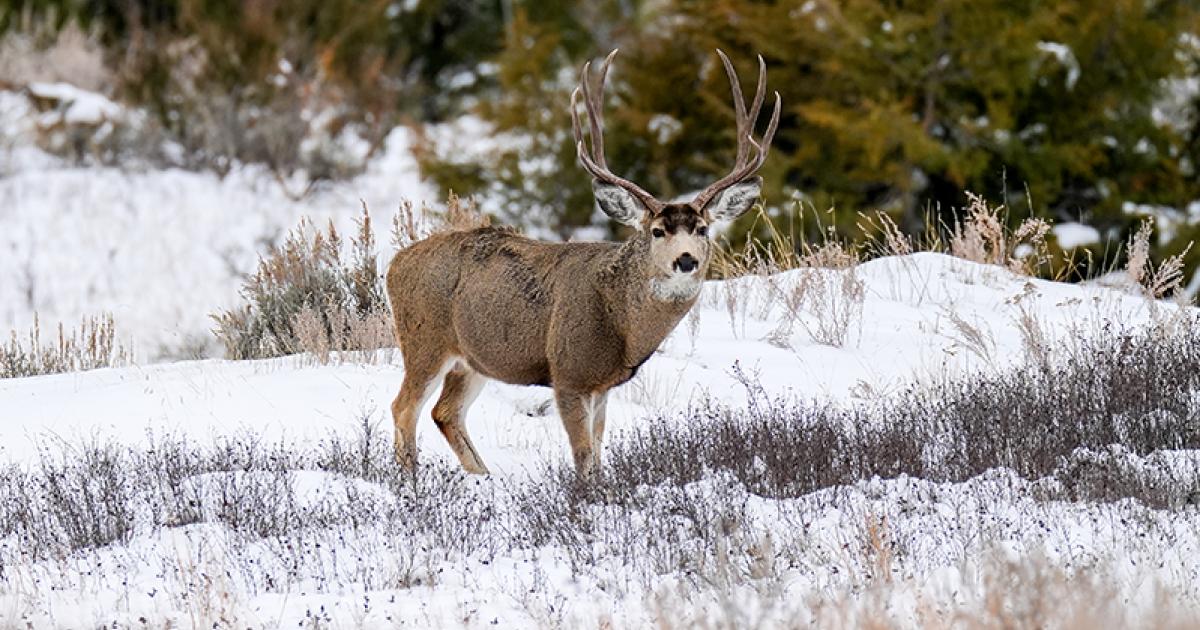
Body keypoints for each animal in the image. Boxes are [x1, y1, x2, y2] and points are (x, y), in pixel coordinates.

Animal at [385, 49, 780, 477]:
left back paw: (482, 478)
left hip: (472, 359)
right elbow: (584, 458)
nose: (686, 259)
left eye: (703, 229)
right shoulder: (569, 373)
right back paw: (412, 481)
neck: (621, 320)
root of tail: (394, 265)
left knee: (445, 412)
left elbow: (599, 452)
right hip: (424, 340)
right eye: (657, 231)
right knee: (404, 407)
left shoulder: (602, 385)